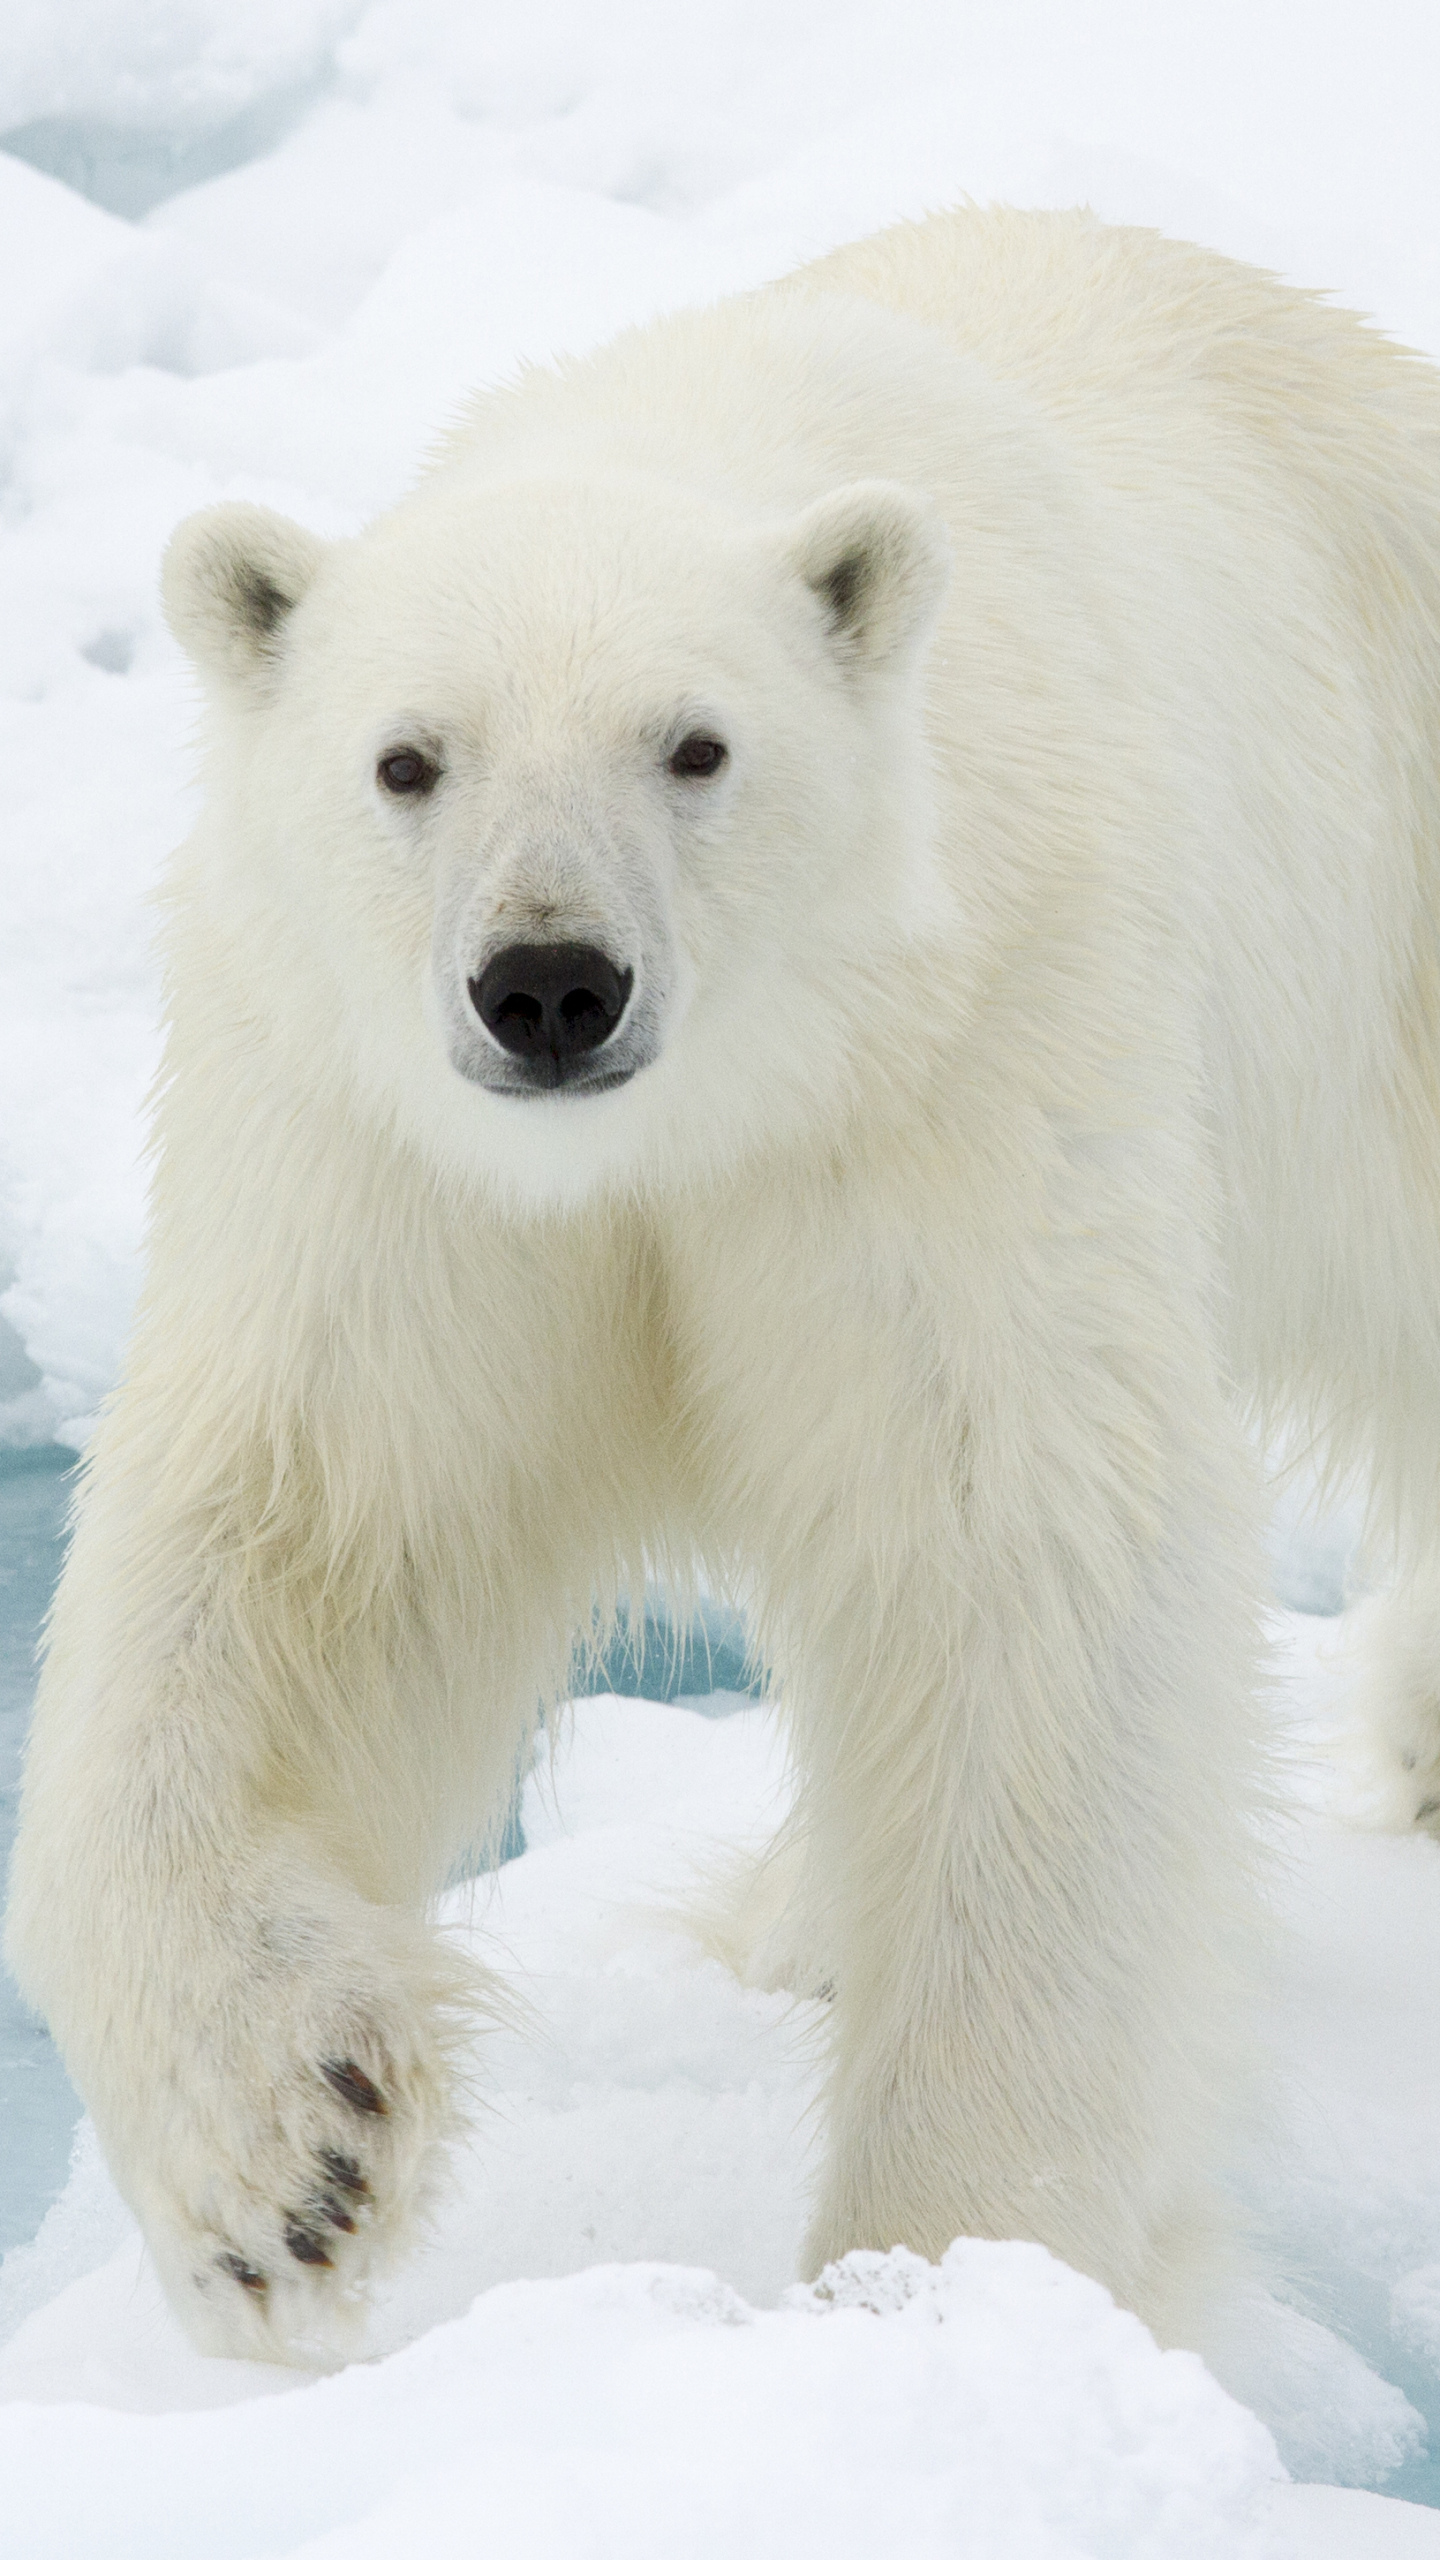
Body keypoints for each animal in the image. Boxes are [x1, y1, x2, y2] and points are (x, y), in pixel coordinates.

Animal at [10, 203, 1440, 2366]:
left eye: (698, 745)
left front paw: (943, 2276)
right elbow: (308, 1527)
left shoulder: (960, 1053)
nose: (549, 982)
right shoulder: (391, 1158)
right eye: (405, 759)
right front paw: (287, 2162)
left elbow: (1006, 1547)